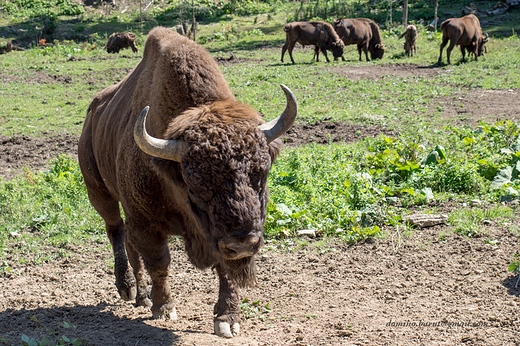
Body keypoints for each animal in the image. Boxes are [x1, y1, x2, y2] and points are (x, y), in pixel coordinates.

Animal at [76, 26, 296, 338]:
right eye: (195, 184)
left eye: (261, 173)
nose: (242, 243)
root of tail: (92, 113)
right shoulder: (146, 222)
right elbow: (159, 262)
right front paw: (164, 309)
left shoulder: (215, 237)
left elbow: (225, 269)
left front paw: (227, 319)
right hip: (99, 192)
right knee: (116, 231)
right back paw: (128, 289)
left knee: (128, 243)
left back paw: (142, 296)